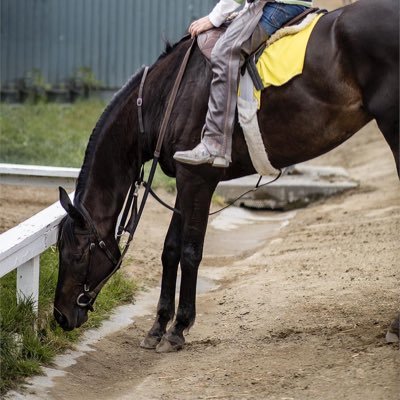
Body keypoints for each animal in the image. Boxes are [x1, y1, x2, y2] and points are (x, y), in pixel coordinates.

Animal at [54, 0, 400, 352]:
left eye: (76, 254)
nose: (60, 316)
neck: (164, 97)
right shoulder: (186, 181)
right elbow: (170, 249)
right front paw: (158, 326)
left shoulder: (199, 179)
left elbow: (190, 251)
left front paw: (179, 327)